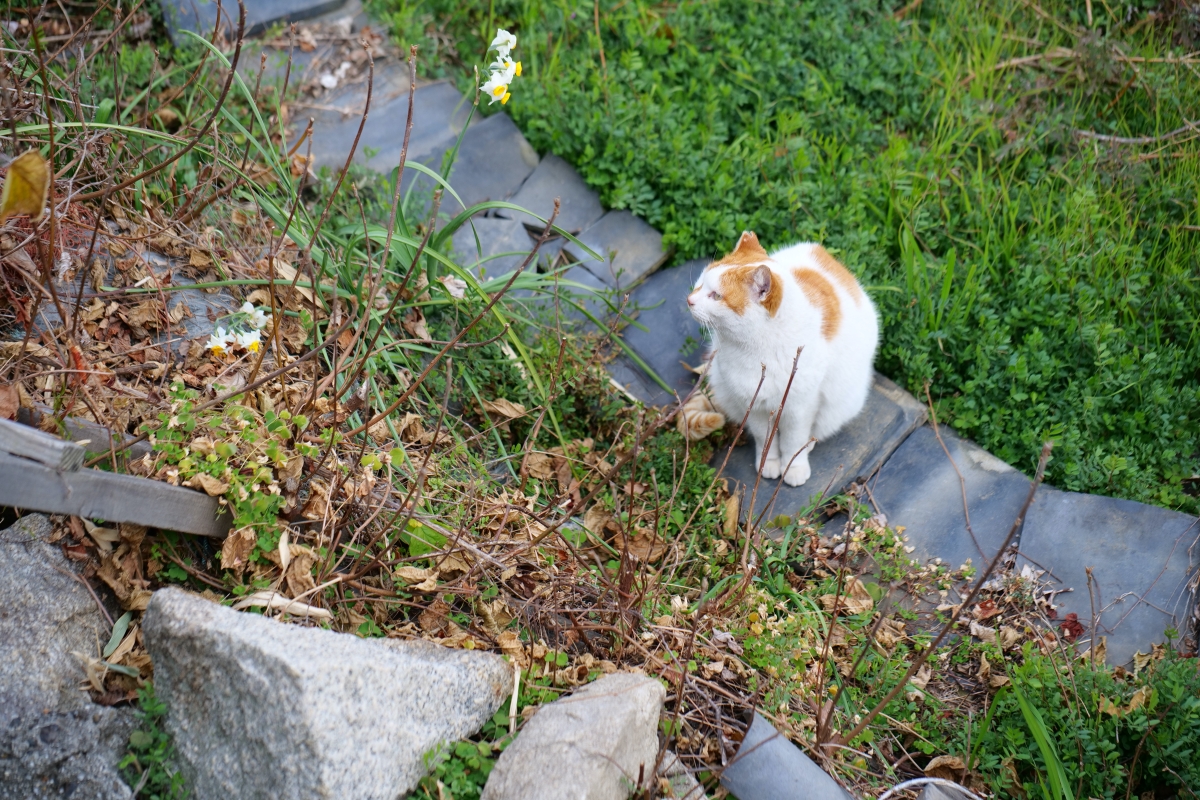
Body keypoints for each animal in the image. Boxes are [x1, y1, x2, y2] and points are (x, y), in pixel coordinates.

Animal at [686, 231, 883, 489]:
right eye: (700, 283)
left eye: (716, 295)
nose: (689, 300)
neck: (758, 349)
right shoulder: (754, 406)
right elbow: (764, 439)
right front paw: (767, 463)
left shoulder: (800, 408)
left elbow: (792, 441)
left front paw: (793, 467)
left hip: (840, 405)